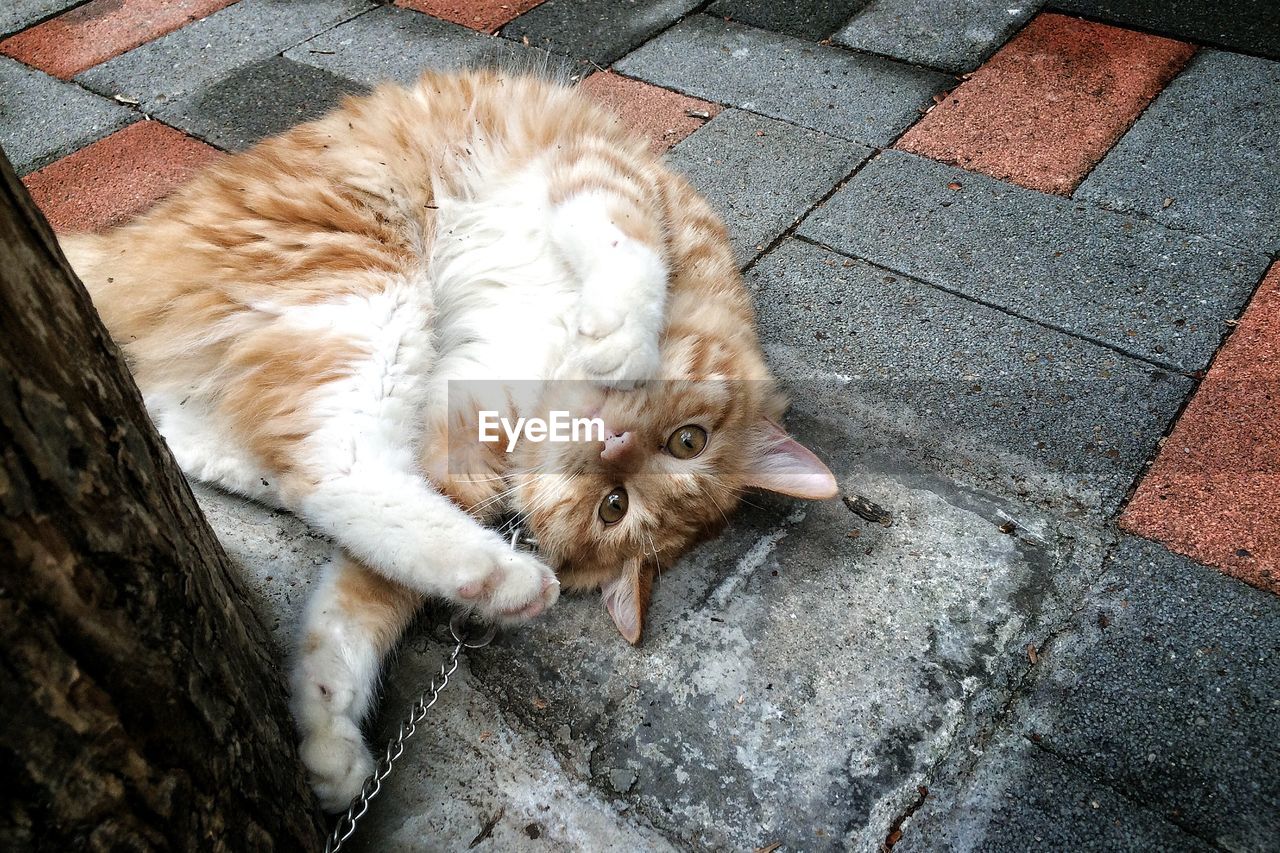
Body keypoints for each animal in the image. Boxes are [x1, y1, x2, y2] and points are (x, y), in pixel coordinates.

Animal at [62, 68, 839, 809]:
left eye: (613, 507)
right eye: (687, 441)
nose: (610, 446)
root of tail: (117, 250)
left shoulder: (453, 453)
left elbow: (352, 613)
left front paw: (328, 730)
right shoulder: (597, 168)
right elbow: (628, 246)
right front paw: (621, 340)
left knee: (296, 463)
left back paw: (495, 575)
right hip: (367, 283)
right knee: (317, 461)